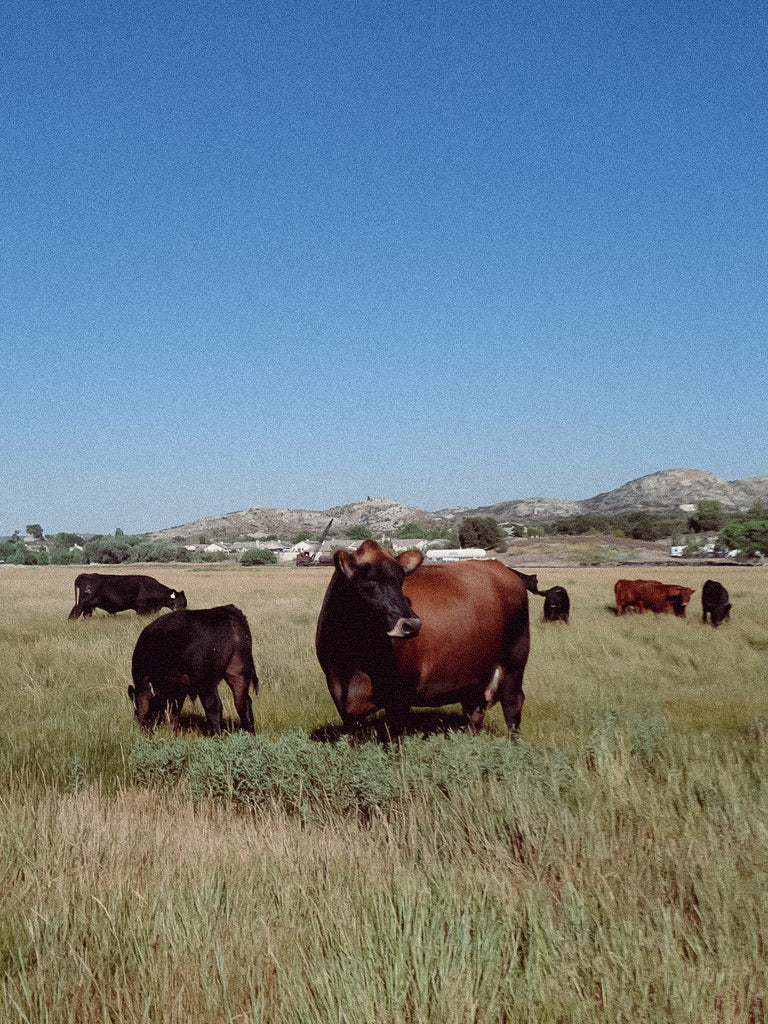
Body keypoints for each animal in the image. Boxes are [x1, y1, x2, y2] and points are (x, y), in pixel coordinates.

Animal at [128, 605, 258, 734]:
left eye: (136, 709)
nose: (143, 729)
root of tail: (228, 612)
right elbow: (174, 711)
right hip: (238, 672)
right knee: (243, 702)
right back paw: (249, 732)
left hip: (206, 681)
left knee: (214, 706)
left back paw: (218, 734)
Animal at [315, 539, 530, 739]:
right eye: (368, 579)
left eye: (401, 580)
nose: (412, 624)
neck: (351, 664)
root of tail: (501, 568)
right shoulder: (339, 696)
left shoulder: (400, 695)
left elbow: (395, 739)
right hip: (474, 676)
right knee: (474, 710)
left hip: (514, 662)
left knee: (513, 704)